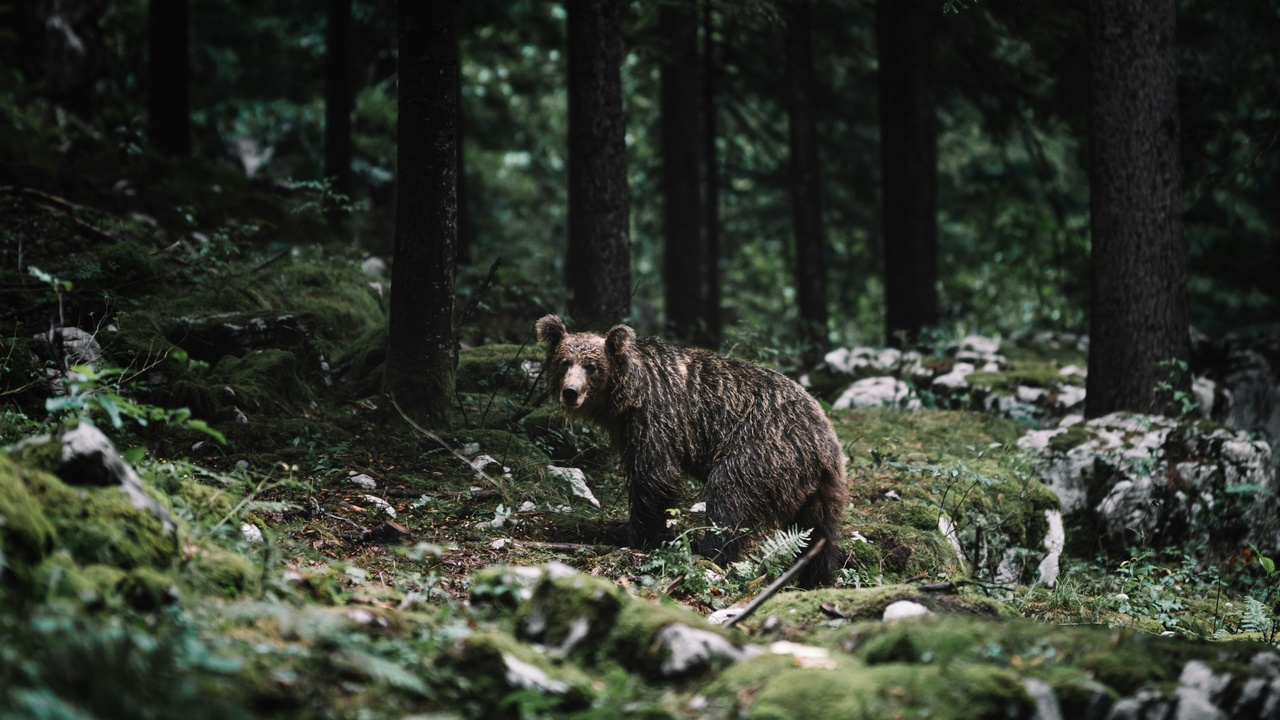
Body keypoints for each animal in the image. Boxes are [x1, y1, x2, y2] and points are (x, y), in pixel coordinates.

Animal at [536, 314, 849, 587]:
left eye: (591, 366)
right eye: (564, 362)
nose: (570, 392)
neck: (627, 397)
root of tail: (824, 442)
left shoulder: (656, 419)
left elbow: (655, 476)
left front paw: (640, 537)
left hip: (760, 449)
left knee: (728, 497)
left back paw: (710, 553)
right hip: (823, 489)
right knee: (818, 531)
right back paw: (816, 576)